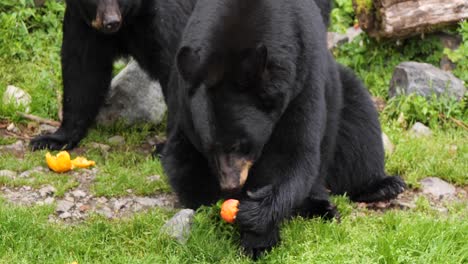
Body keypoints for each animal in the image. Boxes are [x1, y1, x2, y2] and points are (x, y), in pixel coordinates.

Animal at [164, 0, 406, 258]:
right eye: (208, 147)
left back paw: (379, 187)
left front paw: (256, 227)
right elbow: (185, 164)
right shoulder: (183, 103)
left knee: (360, 124)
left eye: (240, 145)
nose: (231, 184)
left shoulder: (302, 78)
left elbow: (290, 152)